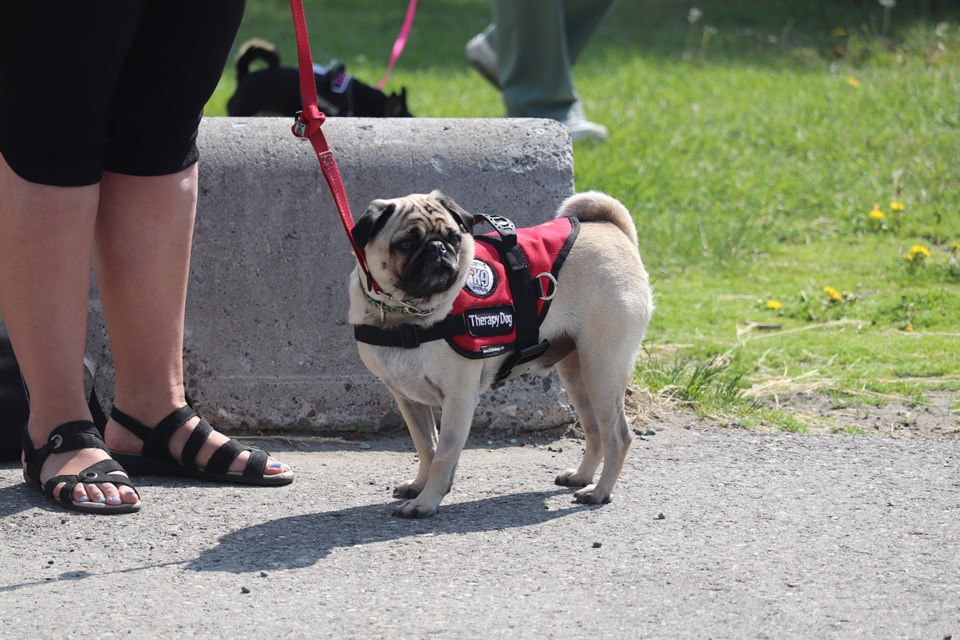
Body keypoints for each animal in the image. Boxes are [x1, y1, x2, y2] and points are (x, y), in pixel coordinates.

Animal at [348, 191, 656, 520]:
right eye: (406, 243)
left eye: (454, 238)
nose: (438, 249)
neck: (405, 317)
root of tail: (613, 229)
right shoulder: (408, 398)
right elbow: (426, 446)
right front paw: (420, 485)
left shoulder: (459, 398)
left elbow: (443, 454)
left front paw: (426, 502)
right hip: (577, 374)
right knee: (595, 429)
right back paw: (582, 477)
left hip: (601, 368)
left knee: (618, 437)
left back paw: (599, 492)